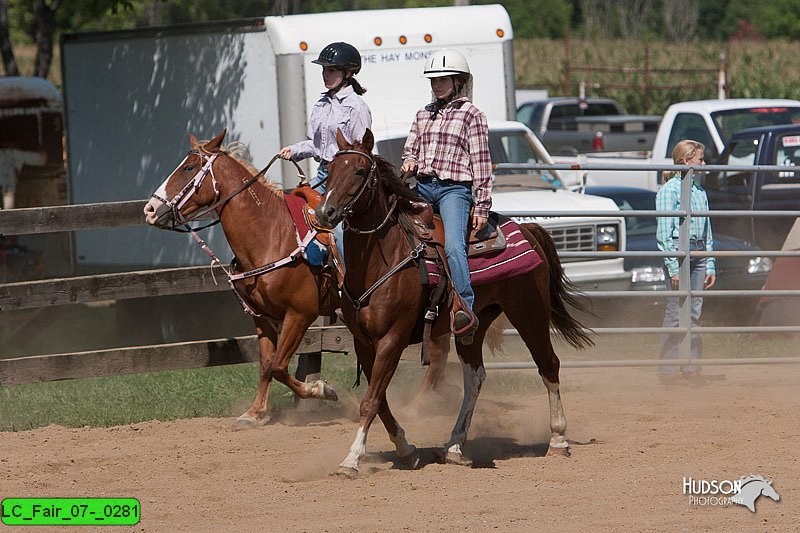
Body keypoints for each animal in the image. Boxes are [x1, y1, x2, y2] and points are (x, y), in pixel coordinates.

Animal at [316, 129, 592, 474]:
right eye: (329, 170)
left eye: (360, 171)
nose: (325, 212)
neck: (383, 259)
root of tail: (526, 229)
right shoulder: (364, 343)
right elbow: (380, 402)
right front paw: (406, 450)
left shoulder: (392, 339)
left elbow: (371, 401)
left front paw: (352, 459)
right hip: (475, 324)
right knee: (474, 377)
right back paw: (455, 445)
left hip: (530, 312)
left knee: (548, 364)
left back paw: (558, 440)